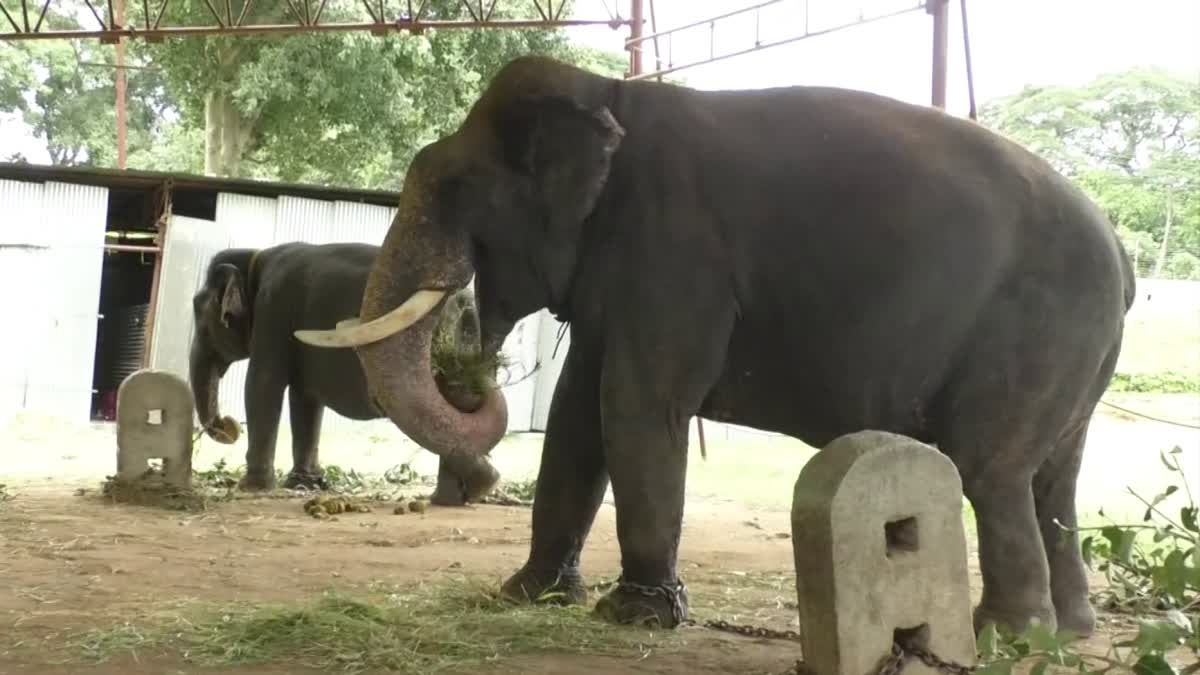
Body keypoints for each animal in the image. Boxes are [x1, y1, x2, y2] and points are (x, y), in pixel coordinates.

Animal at [186, 239, 501, 502]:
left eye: (202, 318)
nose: (229, 425)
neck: (255, 256)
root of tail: (461, 300)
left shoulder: (272, 309)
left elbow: (262, 384)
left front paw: (251, 487)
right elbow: (305, 398)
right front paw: (305, 483)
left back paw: (474, 488)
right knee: (462, 406)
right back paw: (465, 494)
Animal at [295, 56, 1137, 634]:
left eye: (456, 188)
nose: (470, 360)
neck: (609, 95)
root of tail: (1124, 256)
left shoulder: (674, 252)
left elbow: (635, 406)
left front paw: (634, 616)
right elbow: (576, 415)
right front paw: (528, 595)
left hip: (1038, 328)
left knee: (991, 470)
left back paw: (1003, 634)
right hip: (1081, 352)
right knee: (1051, 477)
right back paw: (1070, 631)